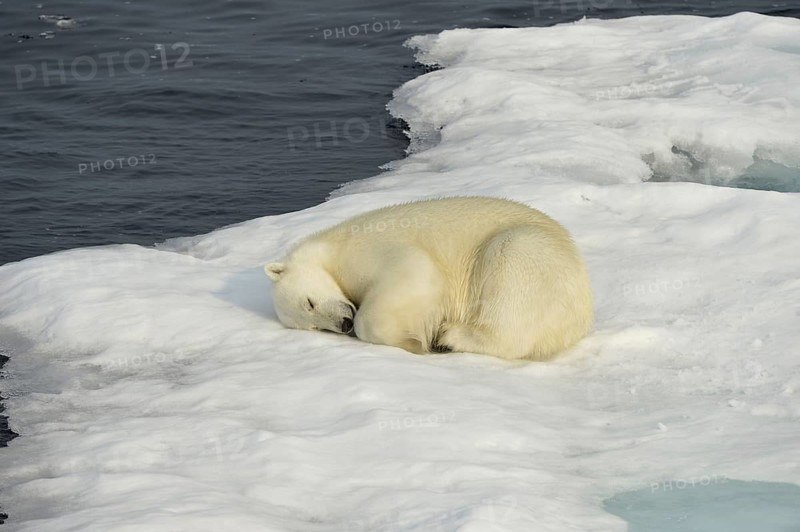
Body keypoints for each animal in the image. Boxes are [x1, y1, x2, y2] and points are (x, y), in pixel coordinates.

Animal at [264, 196, 593, 360]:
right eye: (314, 327)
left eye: (309, 302)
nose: (344, 324)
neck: (331, 248)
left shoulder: (369, 250)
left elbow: (414, 273)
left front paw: (414, 341)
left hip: (527, 253)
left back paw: (449, 338)